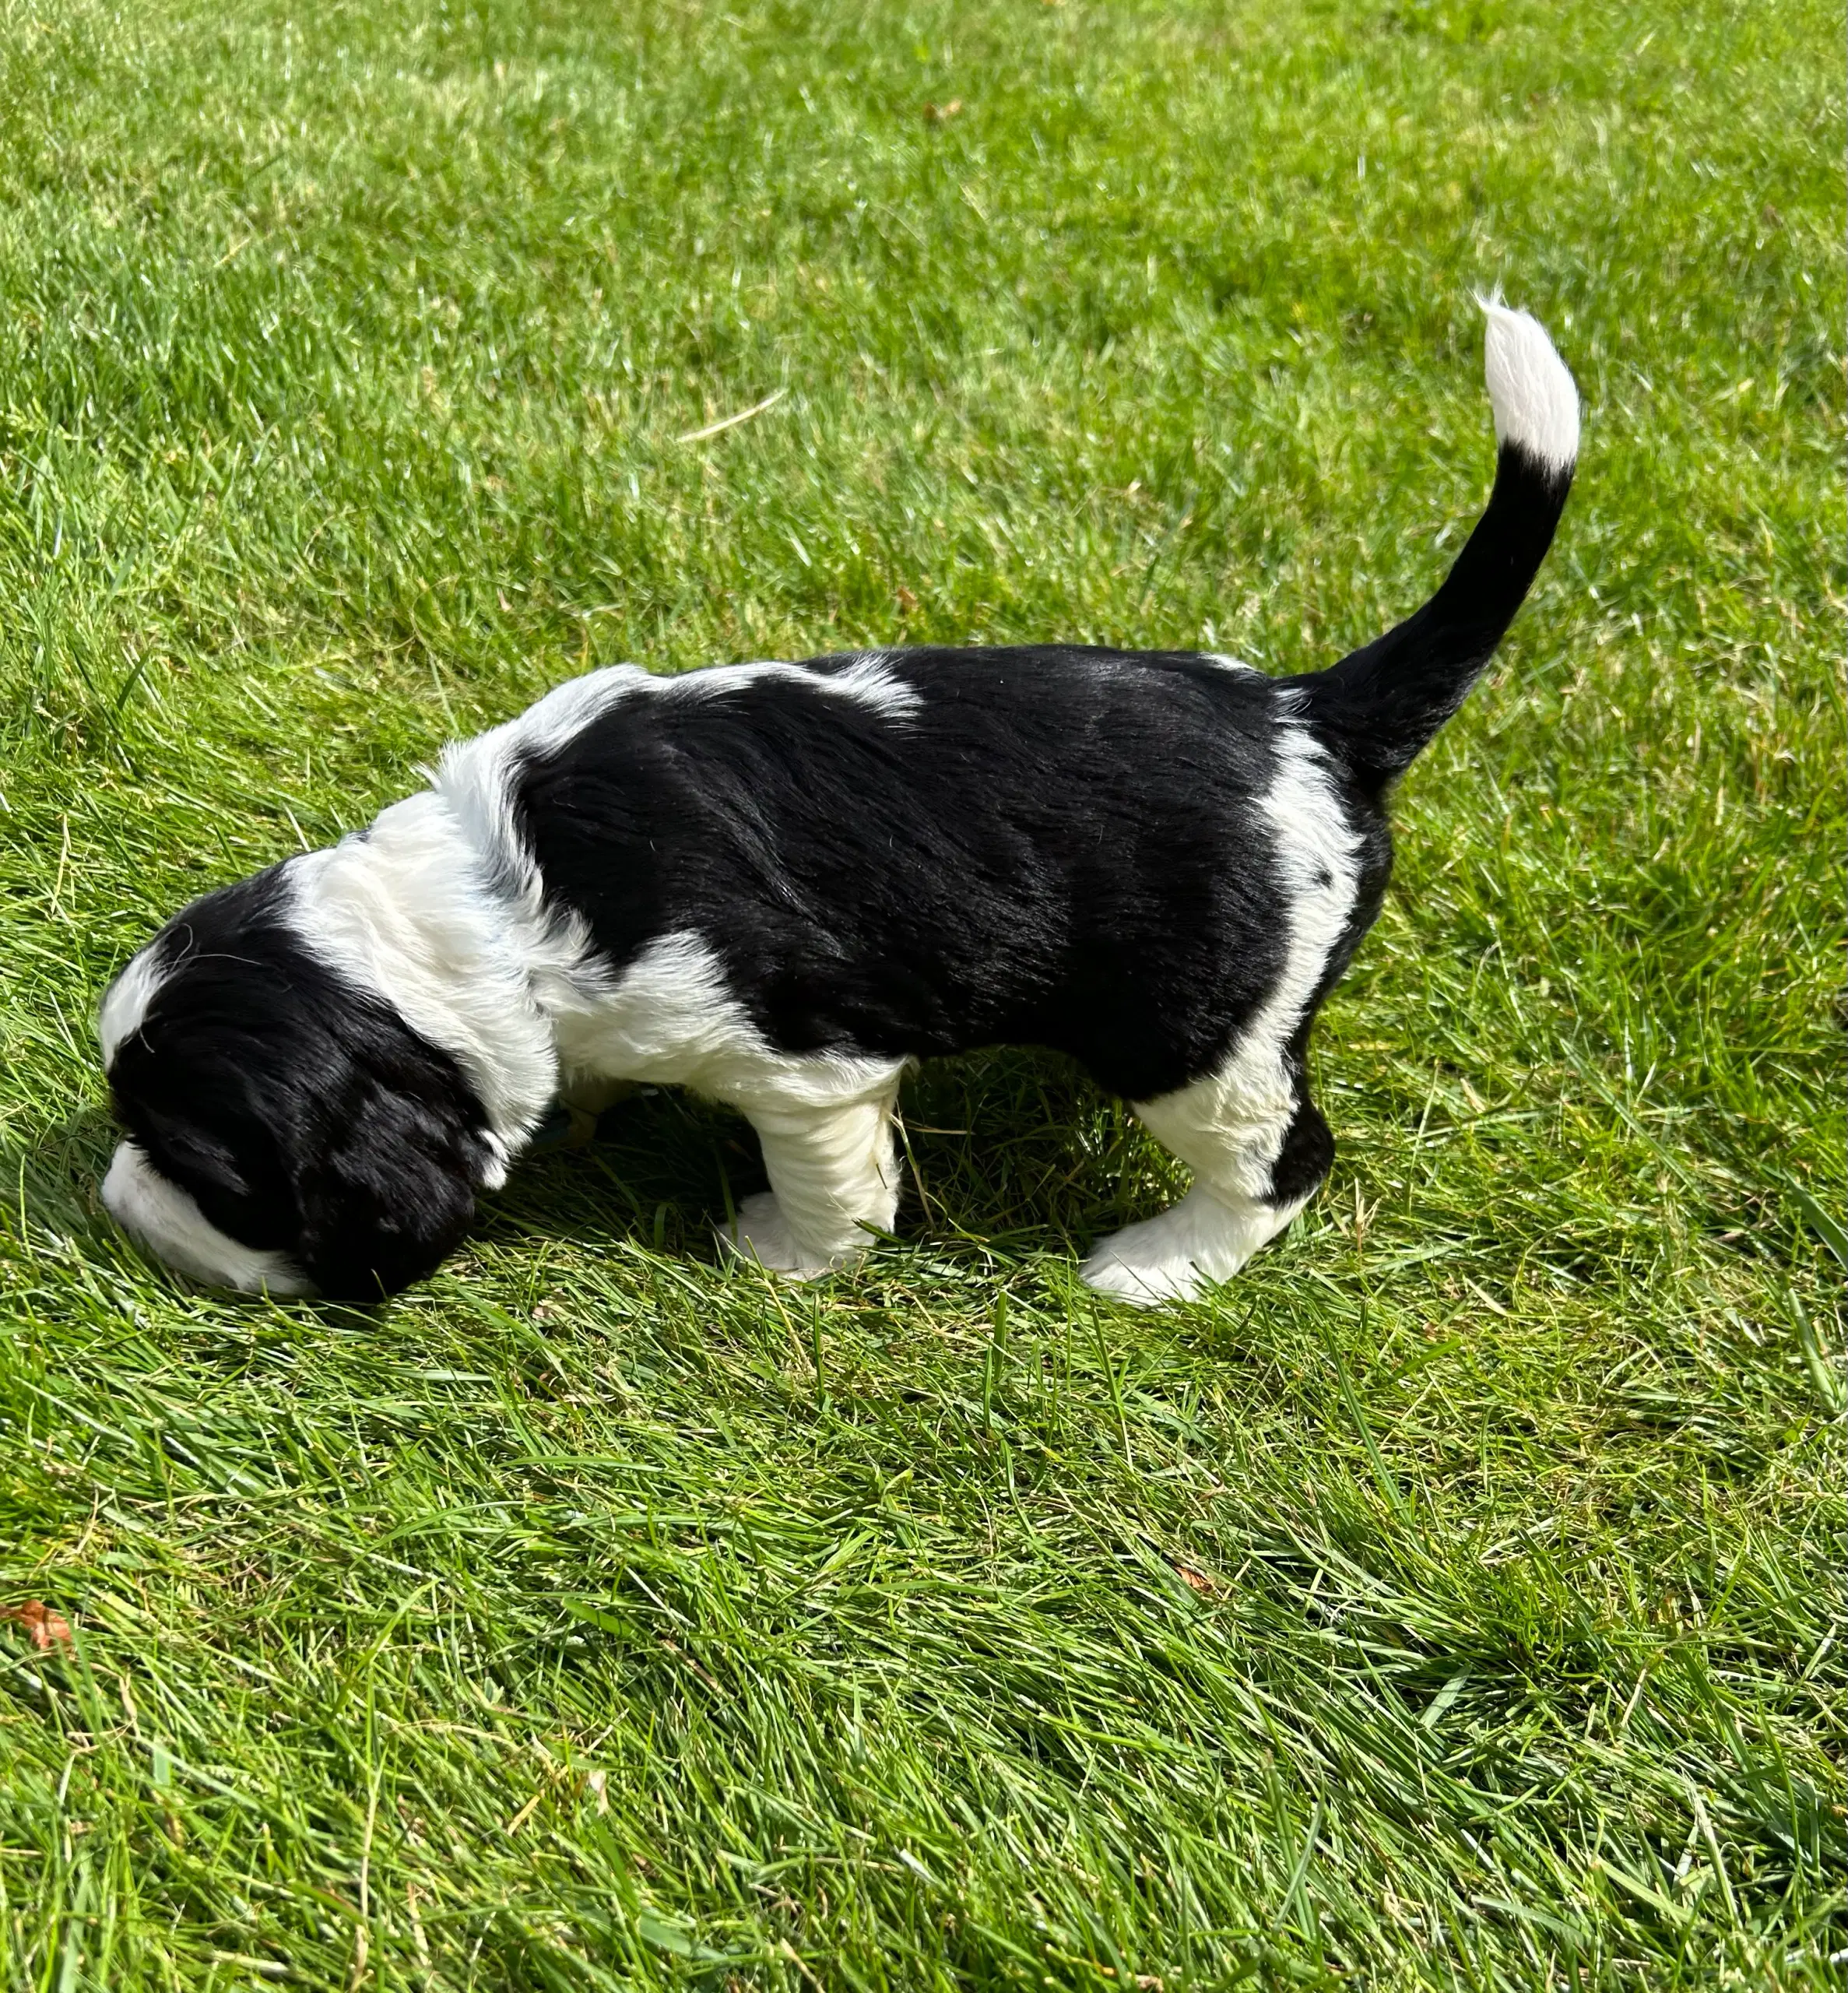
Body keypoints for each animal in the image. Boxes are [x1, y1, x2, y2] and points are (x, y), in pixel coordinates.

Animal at [97, 303, 1579, 1299]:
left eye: (202, 1168)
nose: (112, 1211)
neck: (503, 901)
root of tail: (1309, 711)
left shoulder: (804, 1068)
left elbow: (826, 1181)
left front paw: (785, 1253)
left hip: (1193, 1035)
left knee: (1283, 1159)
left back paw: (1155, 1263)